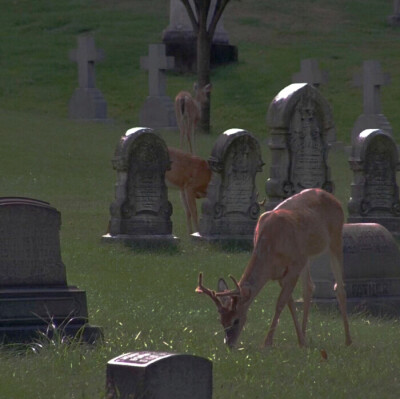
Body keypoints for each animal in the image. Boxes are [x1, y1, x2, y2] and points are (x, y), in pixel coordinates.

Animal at [195, 189, 352, 348]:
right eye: (221, 320)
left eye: (236, 320)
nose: (229, 344)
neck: (270, 245)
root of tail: (333, 198)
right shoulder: (280, 273)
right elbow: (290, 303)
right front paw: (301, 341)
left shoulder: (294, 265)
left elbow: (280, 303)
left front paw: (267, 343)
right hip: (306, 256)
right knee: (309, 287)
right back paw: (305, 336)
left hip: (335, 238)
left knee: (340, 289)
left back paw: (348, 340)